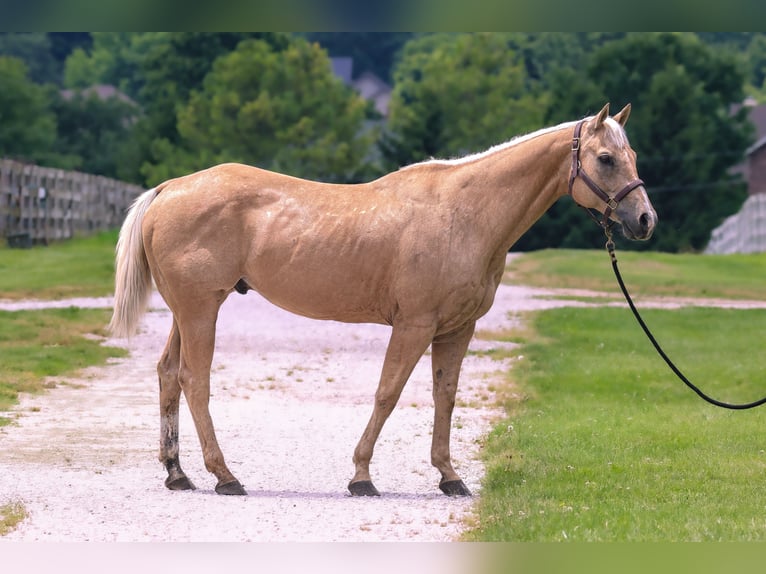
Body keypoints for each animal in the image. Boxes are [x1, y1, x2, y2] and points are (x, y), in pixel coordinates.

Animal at [109, 103, 656, 497]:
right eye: (605, 159)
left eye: (632, 157)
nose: (645, 220)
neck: (465, 212)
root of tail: (170, 188)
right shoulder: (414, 326)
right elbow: (388, 393)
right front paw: (362, 477)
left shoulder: (457, 329)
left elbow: (444, 395)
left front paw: (450, 476)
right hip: (201, 310)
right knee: (193, 381)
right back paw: (225, 477)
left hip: (187, 312)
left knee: (167, 374)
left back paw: (178, 474)